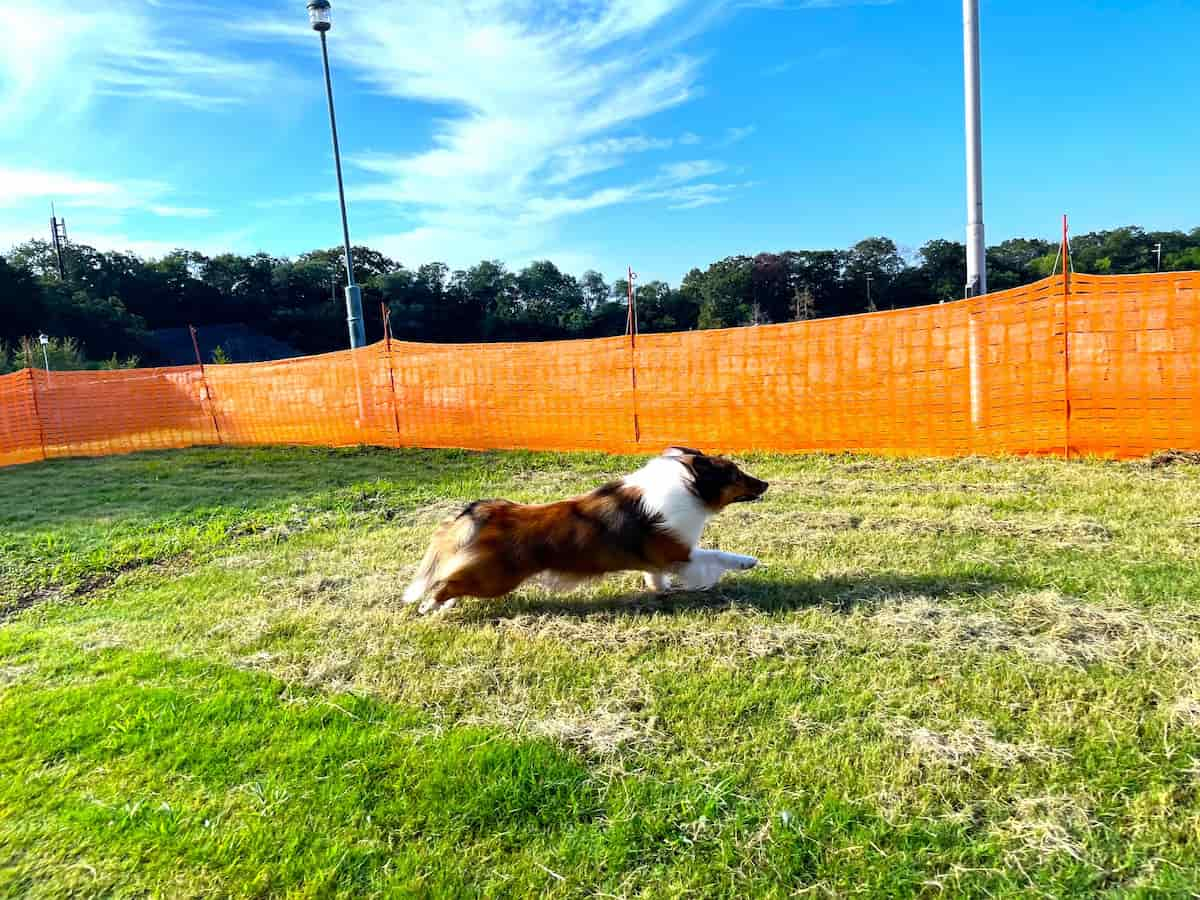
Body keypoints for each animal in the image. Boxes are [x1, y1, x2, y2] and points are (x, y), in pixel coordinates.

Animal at [398, 448, 763, 619]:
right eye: (735, 474)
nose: (766, 485)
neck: (689, 486)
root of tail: (489, 510)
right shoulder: (679, 552)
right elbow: (716, 554)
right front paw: (748, 562)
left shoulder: (661, 560)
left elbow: (655, 576)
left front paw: (660, 590)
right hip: (495, 580)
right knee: (444, 584)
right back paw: (427, 606)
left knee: (452, 583)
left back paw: (443, 606)